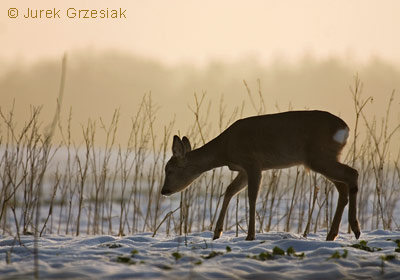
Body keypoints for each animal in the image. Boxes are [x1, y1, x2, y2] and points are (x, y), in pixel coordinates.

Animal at [161, 110, 360, 242]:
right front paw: (217, 232)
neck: (226, 149)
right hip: (324, 158)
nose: (164, 190)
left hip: (319, 156)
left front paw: (250, 236)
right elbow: (229, 191)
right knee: (343, 188)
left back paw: (355, 228)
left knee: (353, 173)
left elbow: (252, 196)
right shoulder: (242, 169)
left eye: (169, 169)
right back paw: (332, 235)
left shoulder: (253, 163)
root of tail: (345, 128)